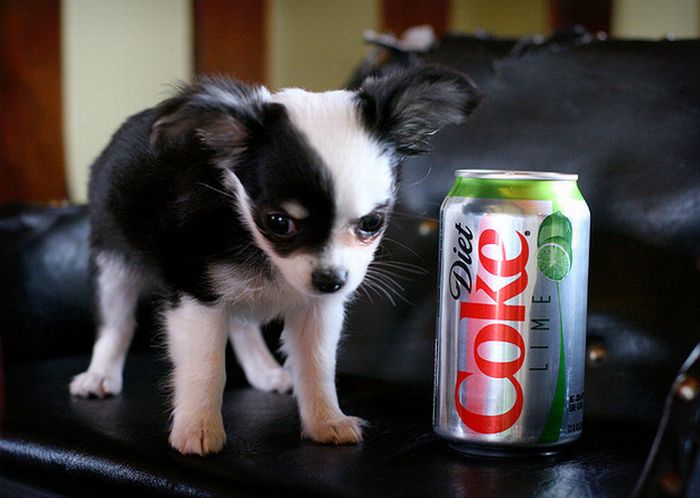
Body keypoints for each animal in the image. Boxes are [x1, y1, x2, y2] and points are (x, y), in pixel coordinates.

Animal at [69, 66, 482, 456]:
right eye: (278, 223)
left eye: (371, 224)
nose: (331, 281)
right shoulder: (196, 296)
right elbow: (206, 368)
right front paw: (198, 428)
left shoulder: (317, 310)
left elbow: (317, 368)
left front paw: (326, 422)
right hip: (113, 262)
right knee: (117, 323)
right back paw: (99, 376)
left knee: (241, 326)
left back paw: (264, 371)